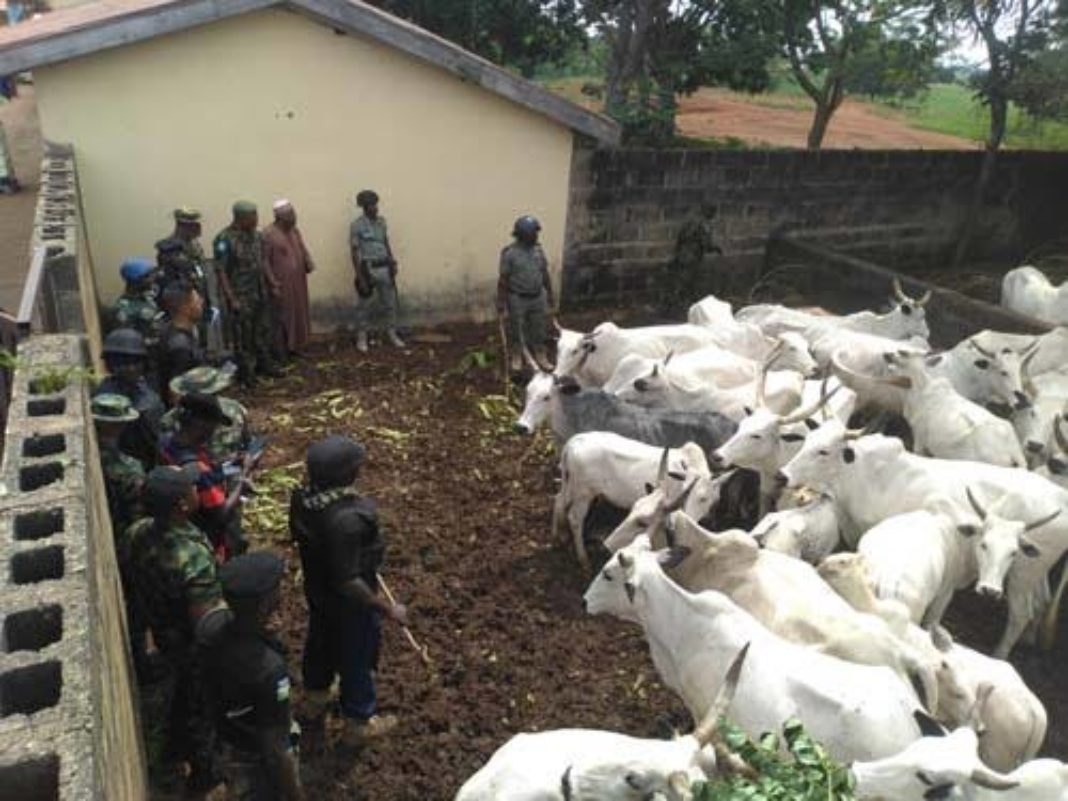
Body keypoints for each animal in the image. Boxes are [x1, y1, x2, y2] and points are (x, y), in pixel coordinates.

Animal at [777, 420, 1068, 657]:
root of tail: (1059, 495)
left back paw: (1000, 654)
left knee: (1021, 614)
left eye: (824, 451)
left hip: (1021, 573)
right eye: (806, 441)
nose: (782, 475)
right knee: (1041, 601)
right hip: (1036, 568)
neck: (865, 477)